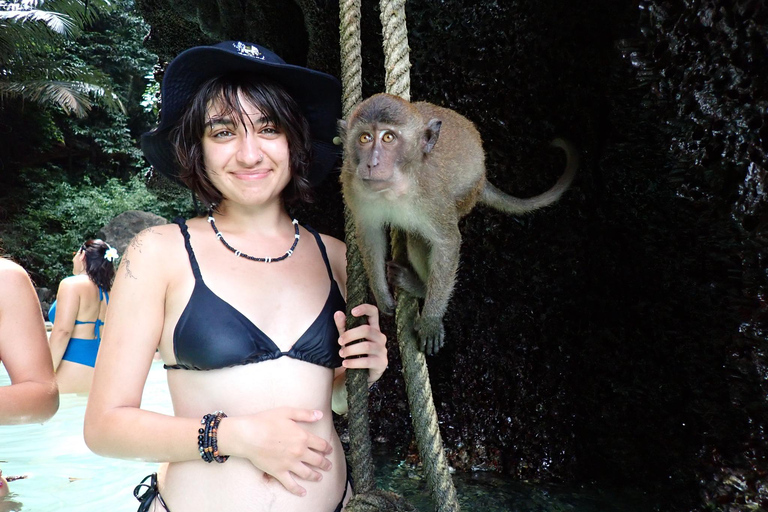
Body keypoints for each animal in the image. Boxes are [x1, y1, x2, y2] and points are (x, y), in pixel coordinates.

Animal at [338, 93, 576, 356]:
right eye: (365, 138)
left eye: (388, 137)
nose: (372, 163)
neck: (394, 187)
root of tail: (482, 179)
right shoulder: (352, 182)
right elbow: (369, 233)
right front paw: (381, 294)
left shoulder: (431, 194)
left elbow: (447, 243)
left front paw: (431, 321)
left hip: (465, 199)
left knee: (419, 239)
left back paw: (419, 287)